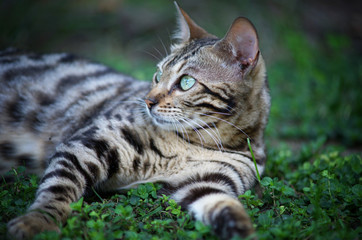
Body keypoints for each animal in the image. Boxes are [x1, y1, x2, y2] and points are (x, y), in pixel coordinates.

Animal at [2, 3, 268, 240]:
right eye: (158, 75)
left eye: (186, 82)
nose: (148, 101)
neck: (197, 142)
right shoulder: (89, 143)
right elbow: (58, 189)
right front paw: (38, 222)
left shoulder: (204, 184)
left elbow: (227, 208)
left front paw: (246, 231)